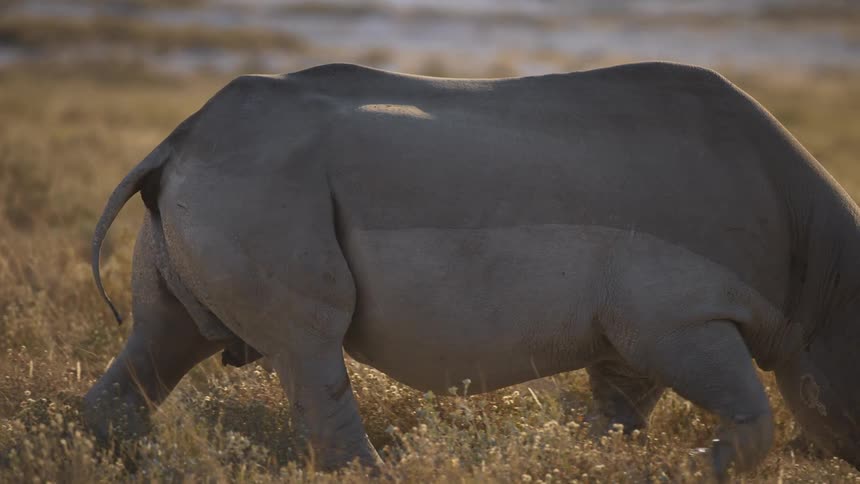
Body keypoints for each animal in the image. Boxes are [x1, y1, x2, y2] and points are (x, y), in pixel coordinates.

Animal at [84, 62, 860, 478]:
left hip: (216, 186)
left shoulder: (637, 334)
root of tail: (177, 138)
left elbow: (616, 417)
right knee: (308, 344)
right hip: (262, 185)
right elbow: (753, 417)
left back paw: (122, 459)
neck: (828, 278)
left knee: (165, 338)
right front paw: (696, 467)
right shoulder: (683, 315)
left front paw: (606, 467)